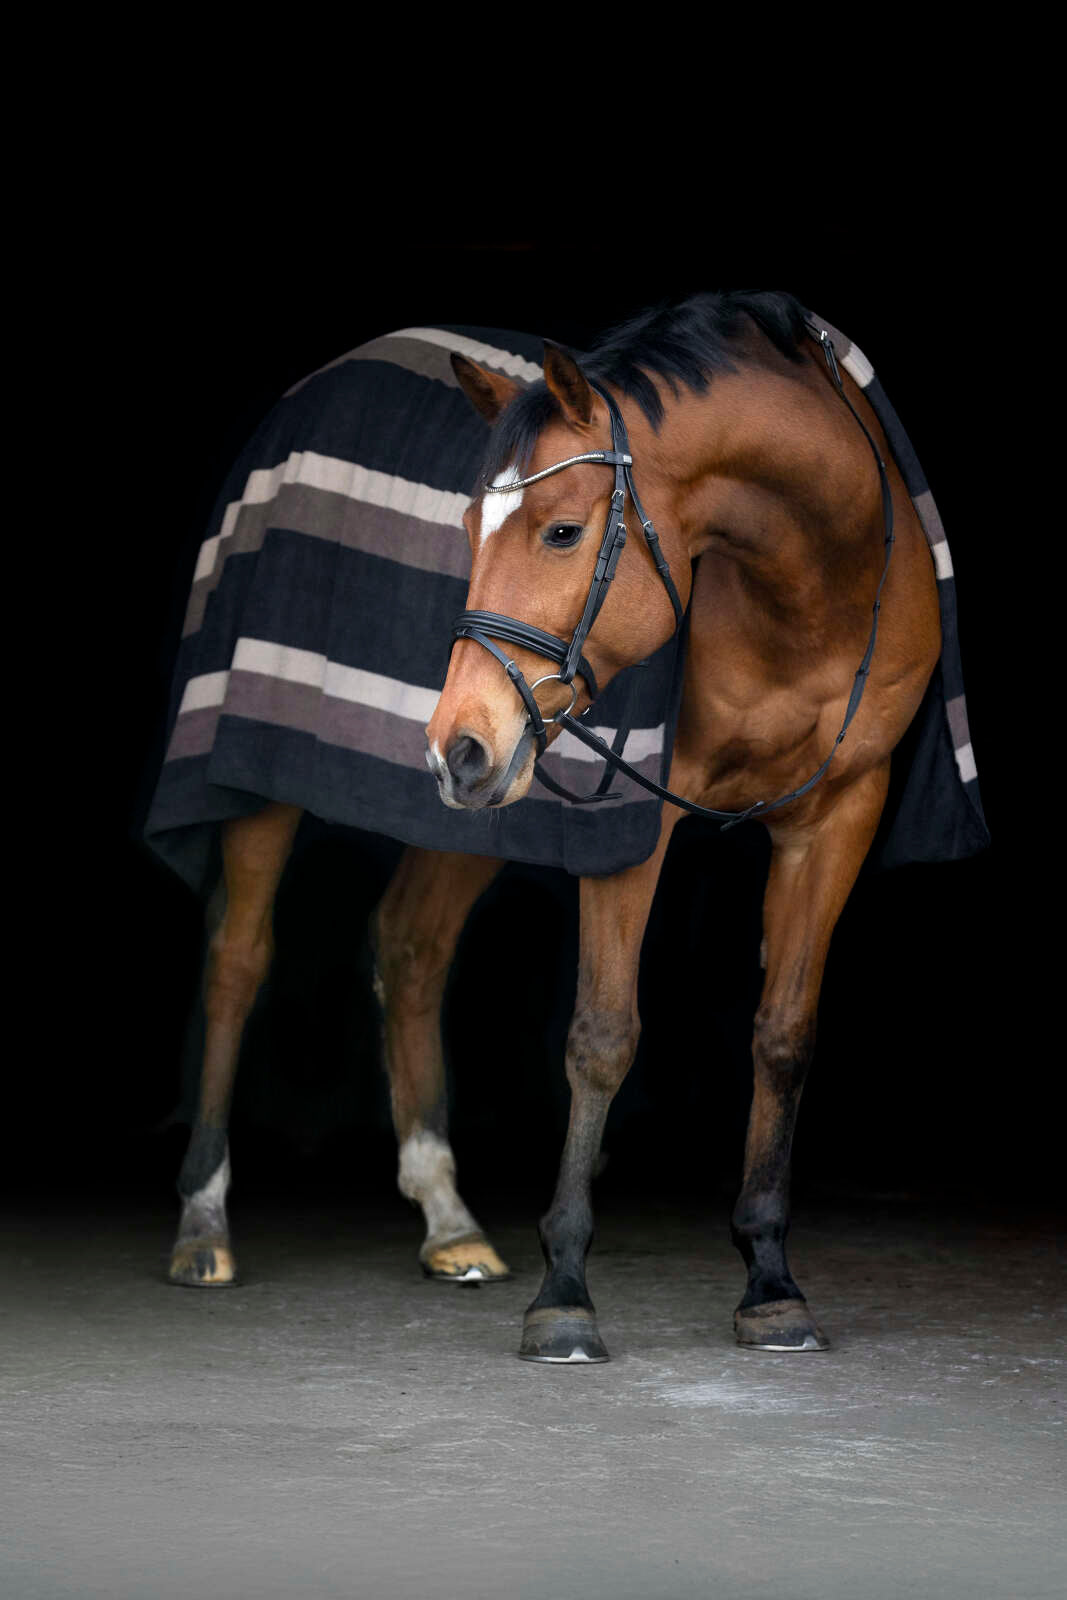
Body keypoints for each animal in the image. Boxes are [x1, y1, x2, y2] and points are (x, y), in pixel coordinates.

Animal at [148, 290, 986, 1362]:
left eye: (559, 531)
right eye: (467, 524)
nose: (451, 743)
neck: (807, 586)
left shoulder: (840, 812)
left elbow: (784, 1036)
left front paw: (769, 1281)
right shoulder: (634, 818)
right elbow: (601, 1036)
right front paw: (565, 1294)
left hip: (486, 799)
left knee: (411, 948)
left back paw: (449, 1223)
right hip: (286, 781)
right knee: (238, 959)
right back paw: (204, 1224)